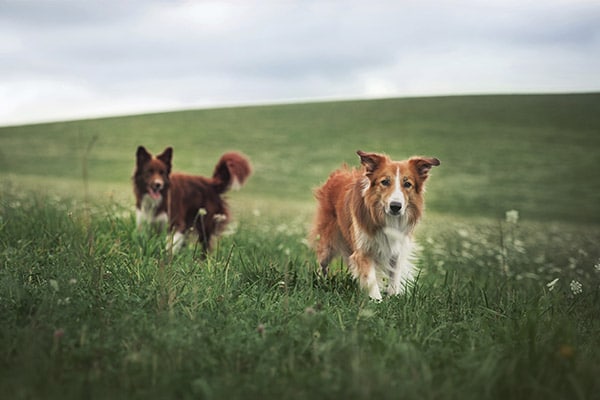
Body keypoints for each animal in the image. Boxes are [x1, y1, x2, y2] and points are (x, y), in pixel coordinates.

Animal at [312, 150, 438, 300]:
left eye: (407, 184)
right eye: (385, 182)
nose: (395, 206)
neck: (387, 219)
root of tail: (338, 174)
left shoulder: (397, 250)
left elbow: (394, 276)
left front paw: (393, 297)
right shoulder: (363, 250)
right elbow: (370, 278)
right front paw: (376, 301)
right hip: (328, 242)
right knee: (322, 263)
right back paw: (322, 283)